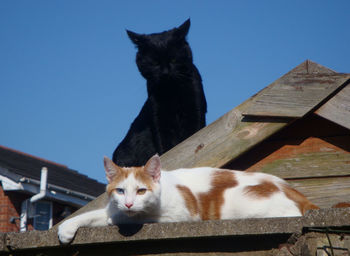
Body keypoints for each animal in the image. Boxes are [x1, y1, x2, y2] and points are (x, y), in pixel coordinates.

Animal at [58, 154, 318, 244]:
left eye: (141, 191)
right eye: (120, 191)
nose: (129, 203)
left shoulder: (181, 216)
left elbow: (130, 219)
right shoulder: (114, 207)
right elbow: (95, 214)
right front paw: (66, 228)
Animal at [112, 18, 206, 166]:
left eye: (173, 59)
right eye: (154, 63)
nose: (165, 73)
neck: (172, 92)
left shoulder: (195, 108)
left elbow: (193, 135)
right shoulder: (158, 116)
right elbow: (165, 145)